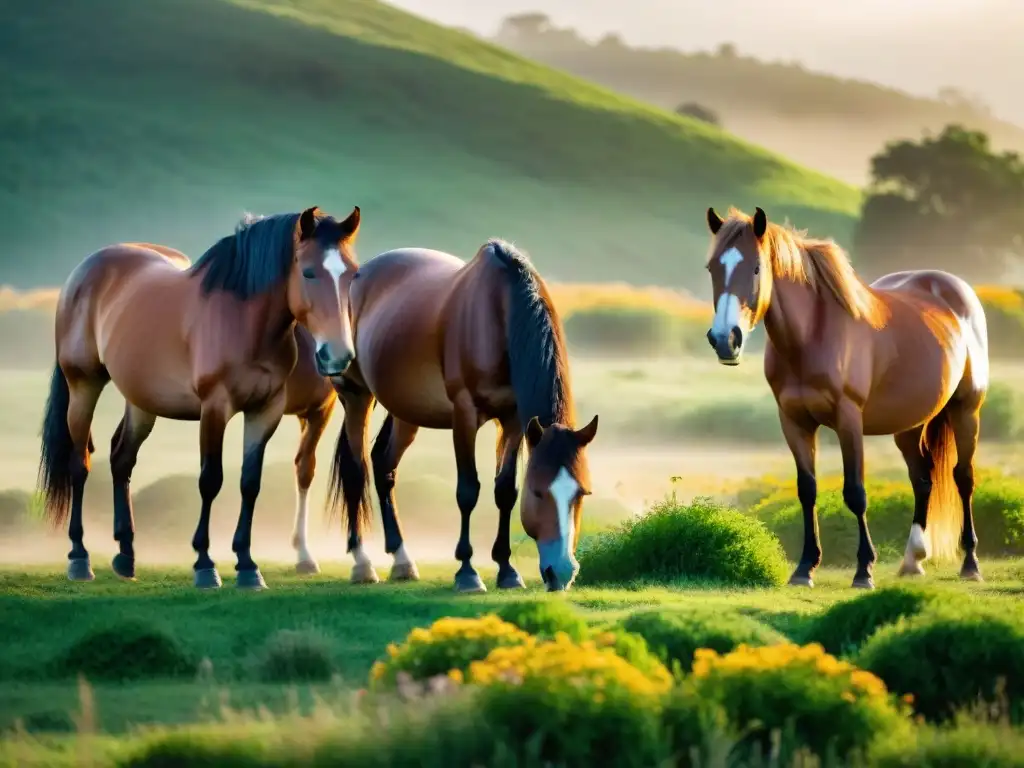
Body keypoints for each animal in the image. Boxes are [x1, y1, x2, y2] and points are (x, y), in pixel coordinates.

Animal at [37, 206, 362, 589]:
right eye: (309, 272)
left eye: (352, 275)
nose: (338, 357)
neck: (242, 322)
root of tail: (84, 270)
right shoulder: (215, 409)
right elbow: (211, 480)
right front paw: (205, 564)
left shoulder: (264, 411)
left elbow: (250, 483)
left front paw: (247, 565)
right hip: (83, 386)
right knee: (80, 465)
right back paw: (79, 557)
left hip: (141, 401)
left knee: (122, 459)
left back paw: (126, 555)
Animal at [324, 239, 599, 593]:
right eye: (539, 492)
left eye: (581, 493)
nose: (561, 573)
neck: (499, 314)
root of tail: (359, 277)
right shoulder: (465, 415)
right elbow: (468, 491)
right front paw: (467, 572)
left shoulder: (513, 420)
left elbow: (505, 491)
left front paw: (507, 570)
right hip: (355, 394)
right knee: (356, 470)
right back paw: (362, 563)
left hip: (405, 411)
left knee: (384, 464)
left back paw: (402, 559)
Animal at [702, 206, 988, 589]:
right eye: (713, 268)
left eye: (756, 267)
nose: (724, 340)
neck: (810, 337)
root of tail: (955, 290)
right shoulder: (794, 421)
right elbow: (806, 490)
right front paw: (804, 568)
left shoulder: (848, 420)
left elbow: (855, 492)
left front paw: (864, 570)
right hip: (909, 424)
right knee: (923, 478)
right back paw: (913, 560)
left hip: (966, 410)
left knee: (963, 477)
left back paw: (970, 563)